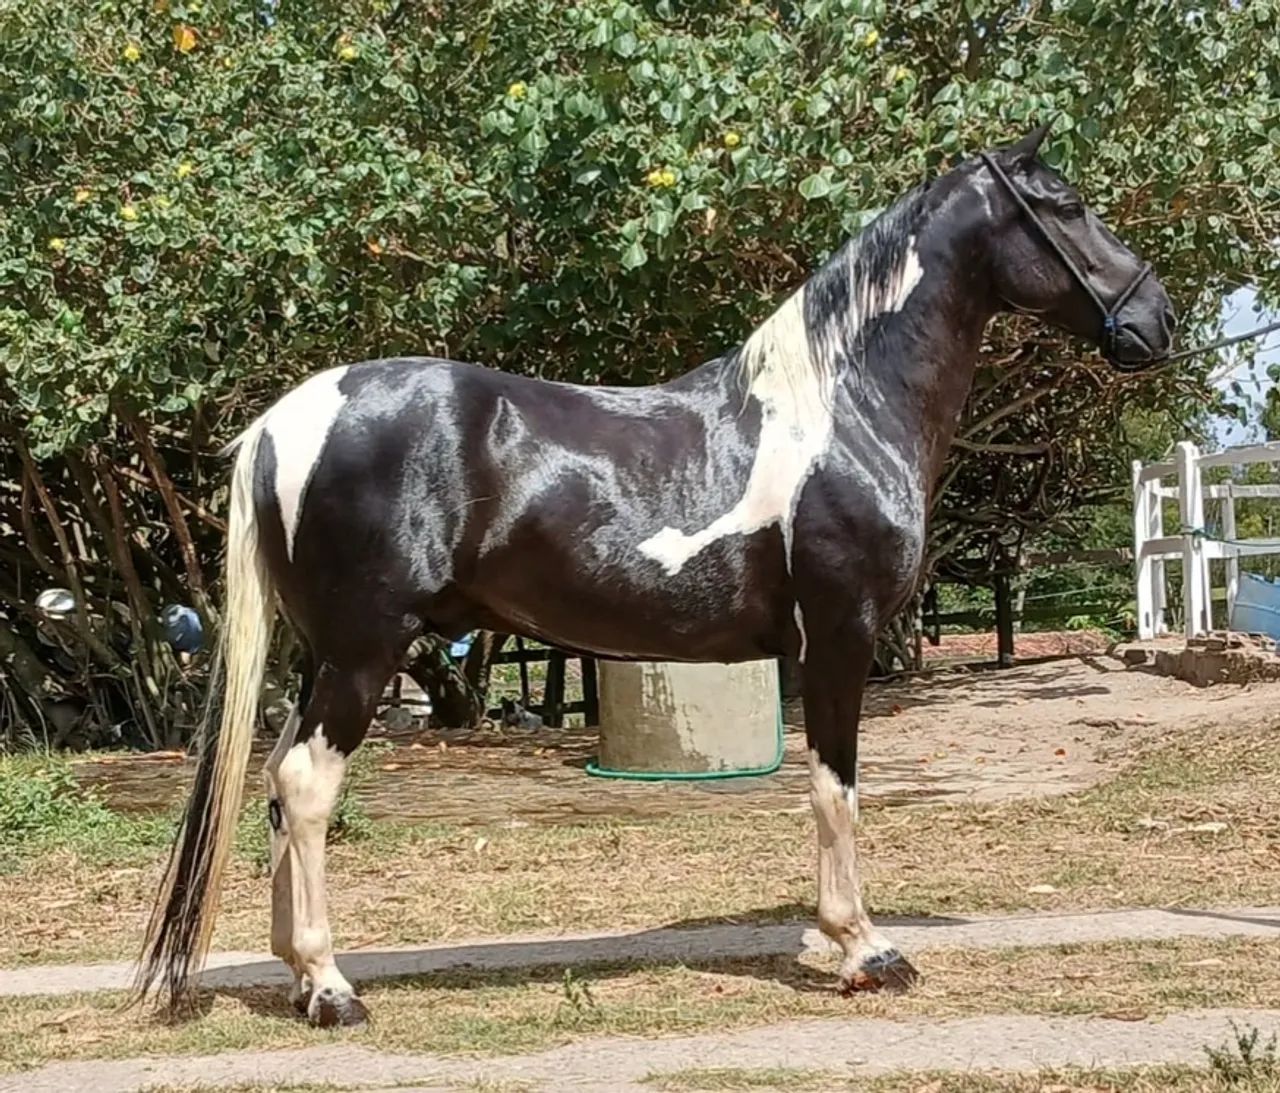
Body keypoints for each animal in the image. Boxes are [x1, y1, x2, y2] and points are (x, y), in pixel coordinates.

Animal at [135, 123, 1175, 1026]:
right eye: (1068, 205)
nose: (1155, 319)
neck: (841, 408)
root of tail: (286, 418)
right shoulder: (839, 639)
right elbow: (834, 789)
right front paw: (864, 949)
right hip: (362, 651)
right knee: (307, 784)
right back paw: (331, 987)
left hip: (324, 653)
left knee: (278, 785)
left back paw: (298, 974)